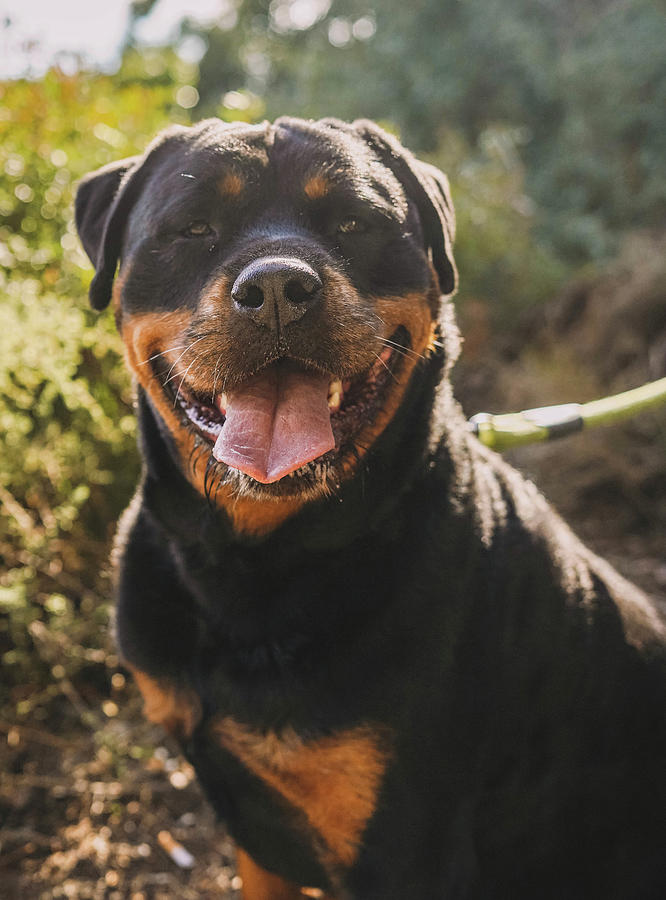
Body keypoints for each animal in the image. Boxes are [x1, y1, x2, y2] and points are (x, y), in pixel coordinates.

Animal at [76, 121, 664, 900]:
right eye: (193, 228)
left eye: (354, 223)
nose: (276, 287)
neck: (254, 564)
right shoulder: (255, 833)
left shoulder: (408, 844)